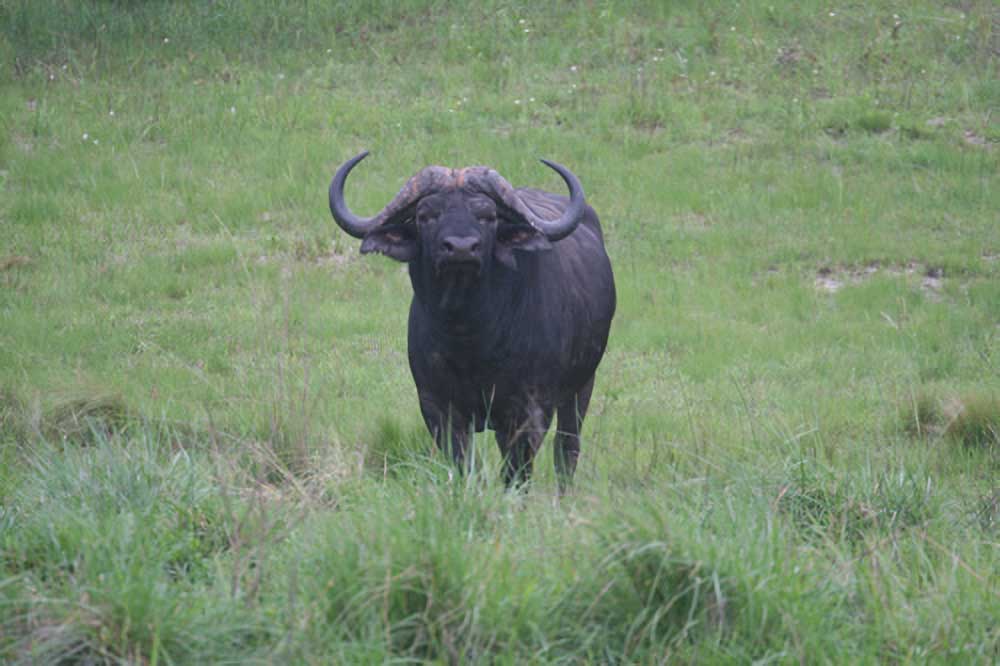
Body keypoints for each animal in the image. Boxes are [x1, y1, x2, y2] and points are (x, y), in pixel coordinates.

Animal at [328, 152, 612, 488]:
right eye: (426, 215)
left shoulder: (528, 412)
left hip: (581, 386)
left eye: (487, 216)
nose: (461, 248)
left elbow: (516, 472)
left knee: (566, 450)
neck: (470, 338)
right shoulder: (438, 408)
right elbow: (463, 465)